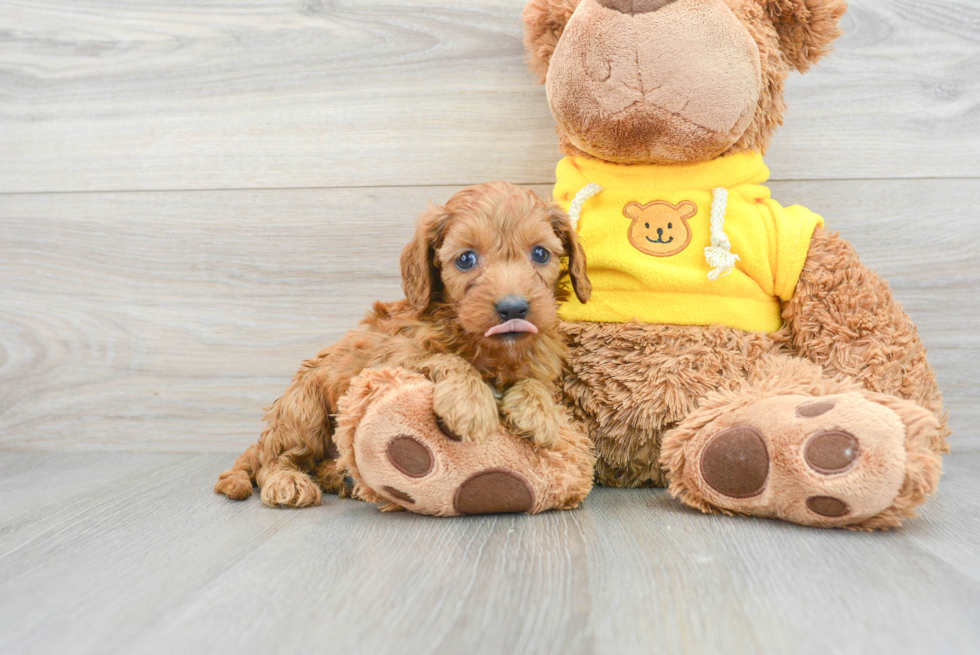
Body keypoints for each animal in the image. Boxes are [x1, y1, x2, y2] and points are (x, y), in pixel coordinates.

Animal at [214, 182, 588, 510]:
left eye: (540, 253)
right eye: (466, 259)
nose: (513, 309)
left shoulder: (538, 360)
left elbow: (534, 381)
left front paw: (539, 412)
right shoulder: (388, 354)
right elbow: (444, 357)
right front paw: (471, 402)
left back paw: (340, 477)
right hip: (303, 409)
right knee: (276, 460)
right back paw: (288, 482)